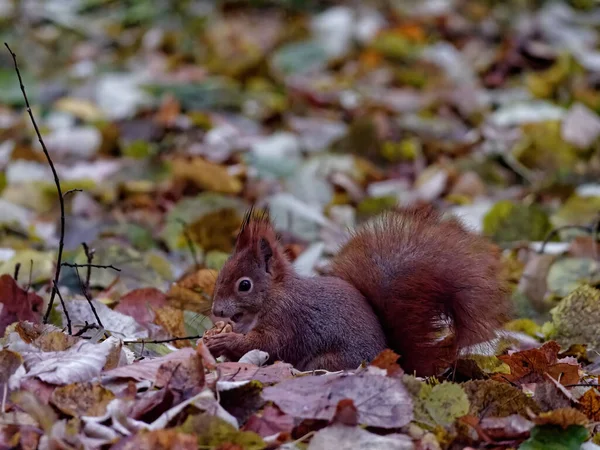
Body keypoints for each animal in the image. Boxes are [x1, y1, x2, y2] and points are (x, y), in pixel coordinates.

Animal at [204, 206, 508, 374]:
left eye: (245, 285)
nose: (216, 310)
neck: (274, 294)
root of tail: (394, 361)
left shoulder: (287, 320)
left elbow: (267, 343)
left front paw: (223, 340)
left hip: (331, 361)